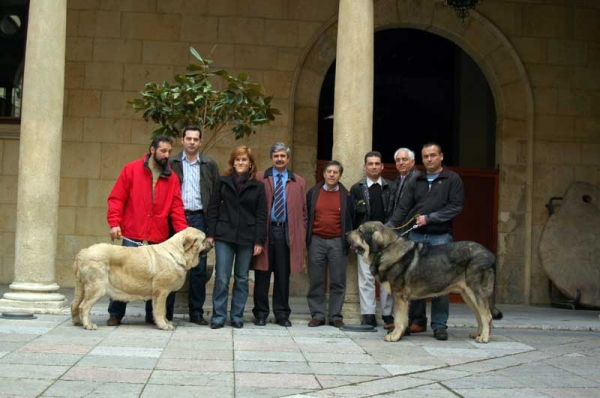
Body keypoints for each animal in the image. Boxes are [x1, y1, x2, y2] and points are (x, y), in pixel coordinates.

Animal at [346, 221, 502, 342]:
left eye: (359, 231)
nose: (346, 233)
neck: (385, 249)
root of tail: (491, 256)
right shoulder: (404, 298)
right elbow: (403, 319)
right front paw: (401, 334)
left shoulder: (399, 295)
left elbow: (398, 319)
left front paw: (395, 336)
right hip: (468, 295)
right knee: (479, 316)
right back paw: (479, 334)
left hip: (476, 292)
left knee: (487, 316)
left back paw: (484, 338)